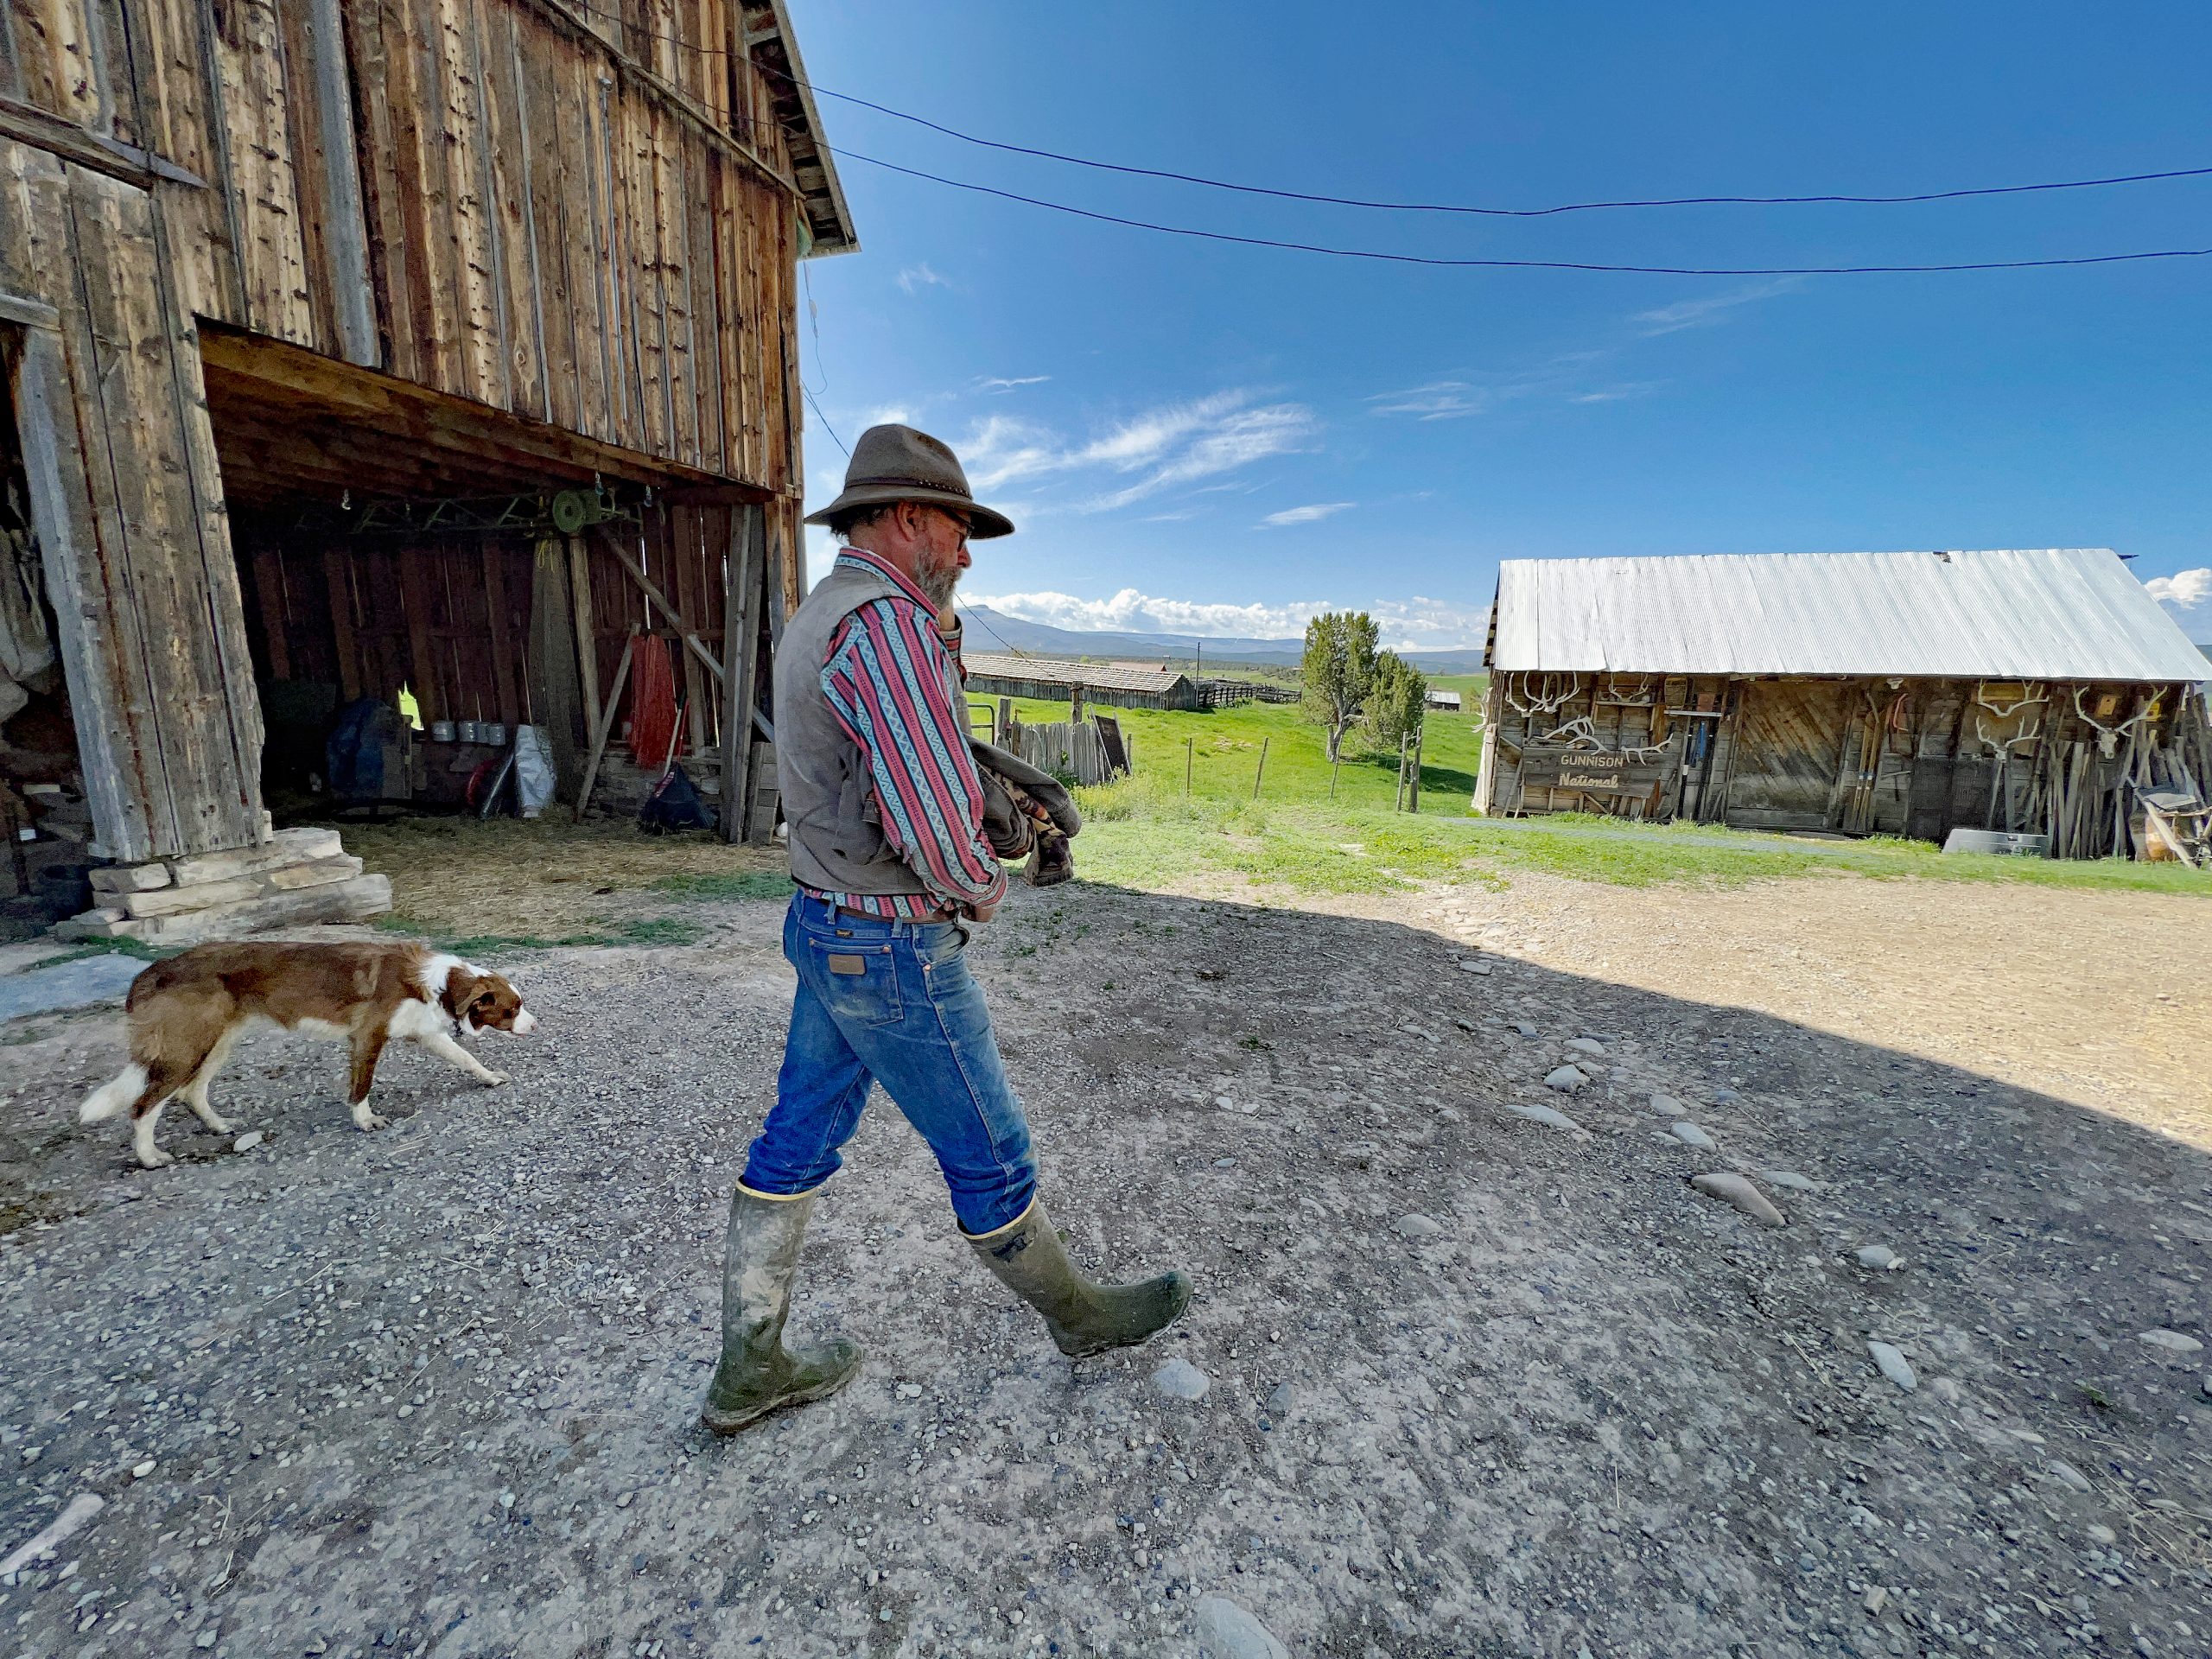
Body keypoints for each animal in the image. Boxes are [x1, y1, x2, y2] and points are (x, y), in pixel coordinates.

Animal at [79, 946, 537, 1167]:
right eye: (512, 1010)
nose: (534, 1026)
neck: (441, 984)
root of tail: (154, 970)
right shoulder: (367, 1036)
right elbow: (361, 1086)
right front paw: (365, 1121)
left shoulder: (424, 1033)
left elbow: (465, 1058)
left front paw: (489, 1077)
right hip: (186, 1049)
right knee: (144, 1106)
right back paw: (149, 1158)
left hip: (217, 1043)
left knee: (191, 1092)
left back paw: (219, 1127)